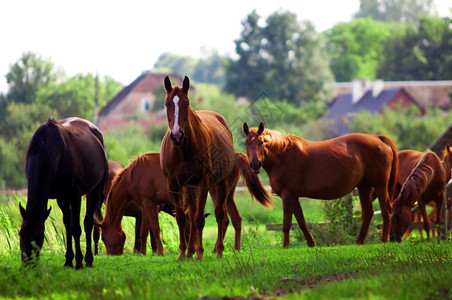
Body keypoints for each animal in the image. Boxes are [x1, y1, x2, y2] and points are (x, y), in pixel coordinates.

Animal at [19, 117, 108, 270]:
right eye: (21, 233)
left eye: (39, 237)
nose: (27, 264)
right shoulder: (61, 197)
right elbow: (67, 225)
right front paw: (68, 260)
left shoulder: (75, 194)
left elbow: (75, 228)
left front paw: (78, 261)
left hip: (95, 189)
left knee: (88, 223)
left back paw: (89, 259)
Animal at [161, 75, 270, 260]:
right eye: (167, 104)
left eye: (186, 103)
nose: (177, 135)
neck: (183, 150)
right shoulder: (174, 185)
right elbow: (182, 219)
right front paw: (183, 253)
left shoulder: (204, 182)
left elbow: (199, 219)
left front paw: (199, 254)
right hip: (191, 187)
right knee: (193, 213)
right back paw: (190, 252)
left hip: (221, 185)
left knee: (221, 216)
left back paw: (219, 250)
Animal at [242, 122, 398, 246]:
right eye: (246, 143)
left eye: (261, 142)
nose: (255, 164)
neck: (283, 155)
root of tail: (377, 138)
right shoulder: (294, 196)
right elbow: (301, 222)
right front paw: (312, 244)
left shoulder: (287, 195)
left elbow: (286, 223)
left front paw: (285, 246)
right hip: (364, 186)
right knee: (368, 212)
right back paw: (359, 242)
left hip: (380, 185)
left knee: (386, 211)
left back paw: (384, 240)